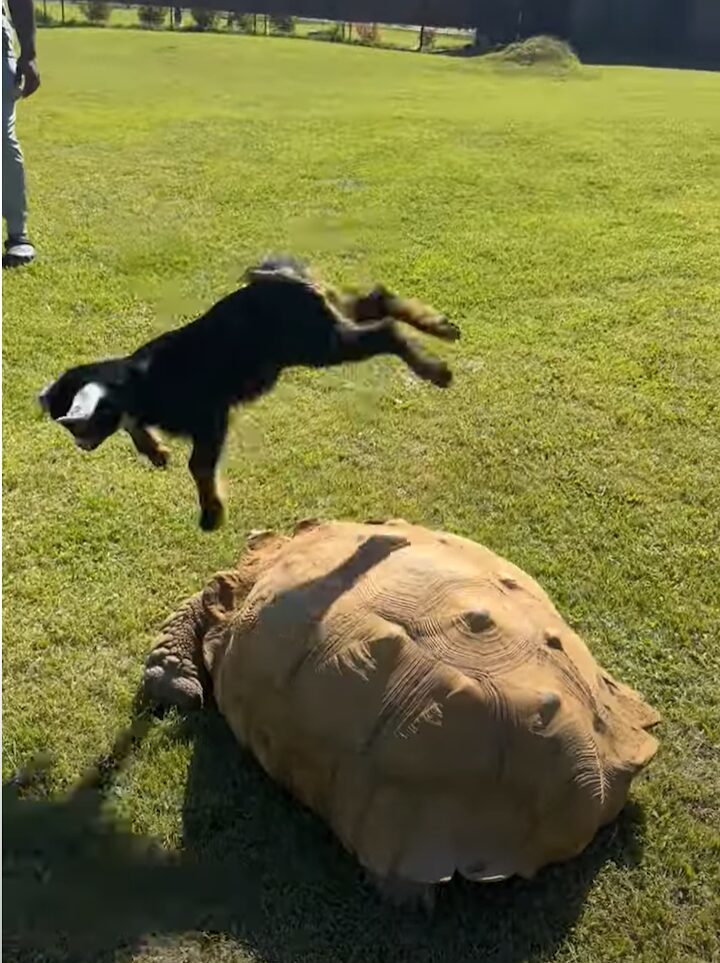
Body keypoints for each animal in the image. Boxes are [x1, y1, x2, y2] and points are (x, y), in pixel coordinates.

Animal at [38, 256, 462, 532]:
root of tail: (280, 278)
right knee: (375, 299)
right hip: (327, 323)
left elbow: (198, 465)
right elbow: (138, 430)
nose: (81, 447)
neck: (140, 381)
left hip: (321, 344)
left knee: (385, 330)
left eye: (78, 426)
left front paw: (211, 514)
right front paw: (157, 453)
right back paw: (441, 327)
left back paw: (436, 371)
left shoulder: (211, 417)